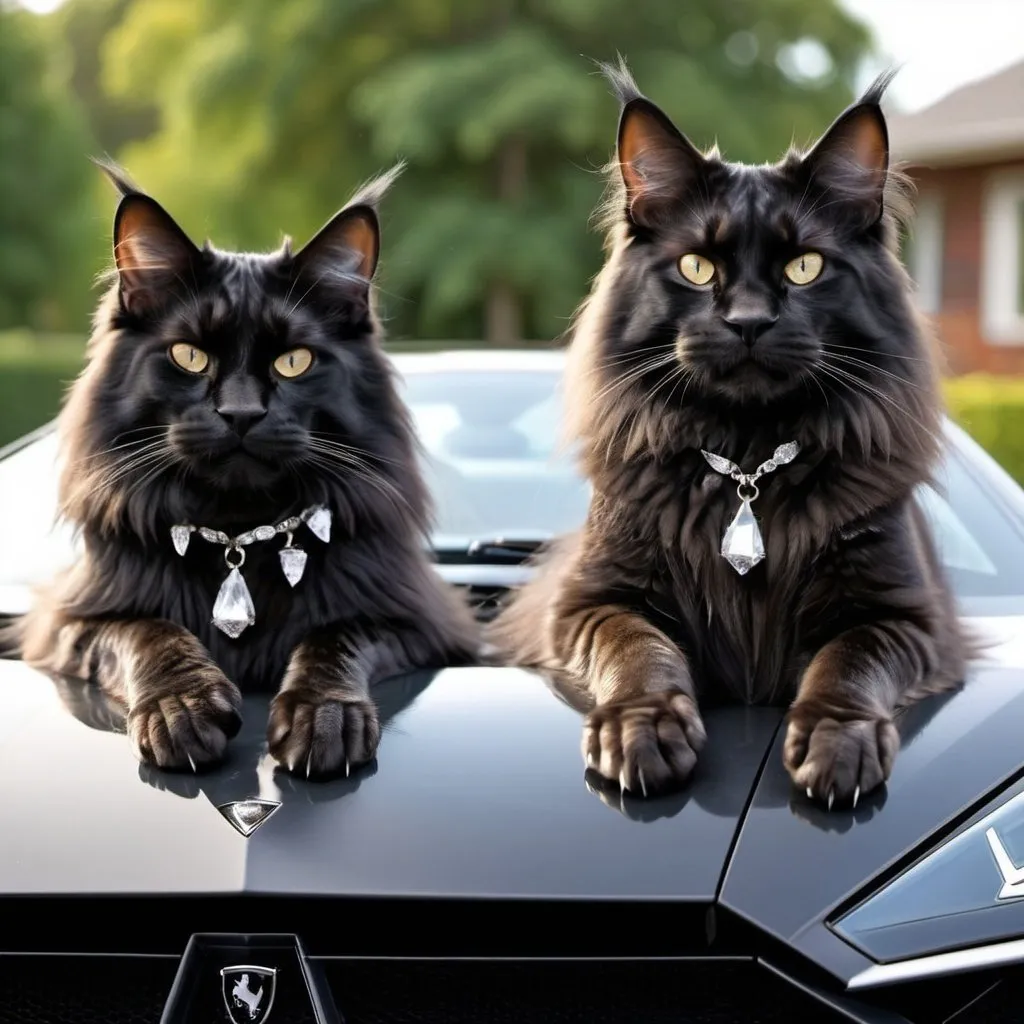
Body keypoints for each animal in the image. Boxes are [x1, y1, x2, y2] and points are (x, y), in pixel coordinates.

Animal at [491, 61, 970, 806]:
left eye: (805, 267)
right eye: (697, 268)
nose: (748, 322)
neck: (747, 459)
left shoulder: (906, 618)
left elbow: (849, 661)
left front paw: (837, 742)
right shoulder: (591, 603)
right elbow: (640, 650)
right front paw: (641, 729)